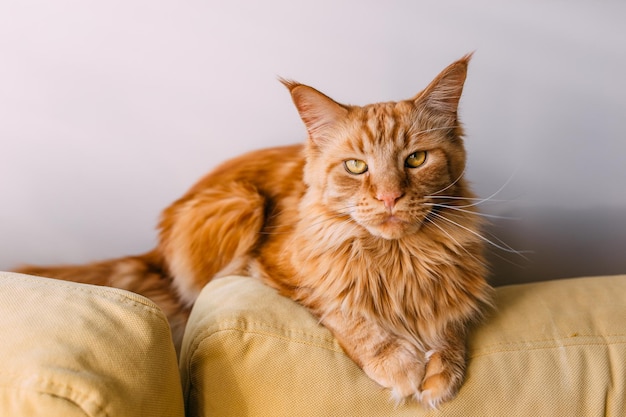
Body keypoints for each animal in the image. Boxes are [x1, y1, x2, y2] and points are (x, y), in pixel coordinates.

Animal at [14, 53, 490, 408]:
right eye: (356, 166)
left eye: (416, 159)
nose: (390, 197)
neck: (398, 258)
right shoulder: (279, 266)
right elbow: (349, 313)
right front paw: (401, 364)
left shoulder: (455, 276)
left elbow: (448, 321)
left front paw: (443, 370)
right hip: (242, 202)